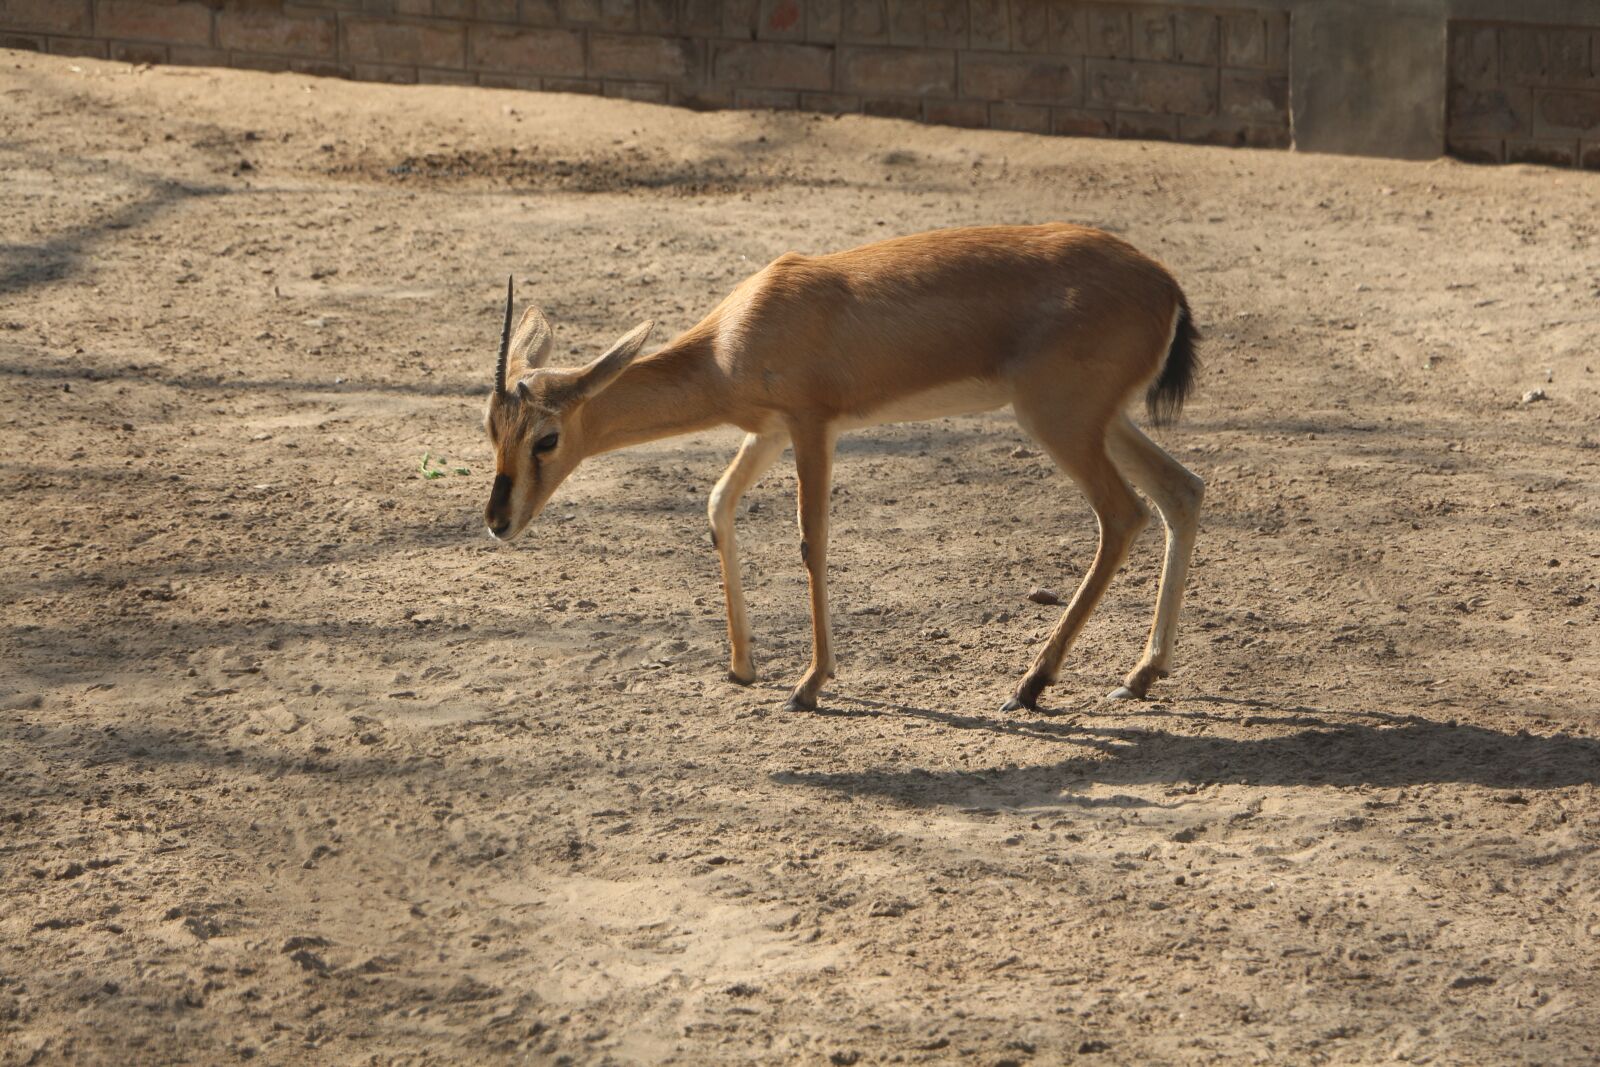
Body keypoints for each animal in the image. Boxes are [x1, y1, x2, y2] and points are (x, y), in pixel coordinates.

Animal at [482, 223, 1203, 714]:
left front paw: (809, 684)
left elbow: (812, 540)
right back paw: (1139, 674)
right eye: (490, 428)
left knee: (1124, 514)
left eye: (546, 438)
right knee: (1182, 491)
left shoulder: (810, 425)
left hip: (1058, 421)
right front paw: (742, 667)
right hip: (1100, 421)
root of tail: (1166, 284)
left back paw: (1031, 684)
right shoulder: (767, 431)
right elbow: (718, 505)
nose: (497, 520)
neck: (732, 340)